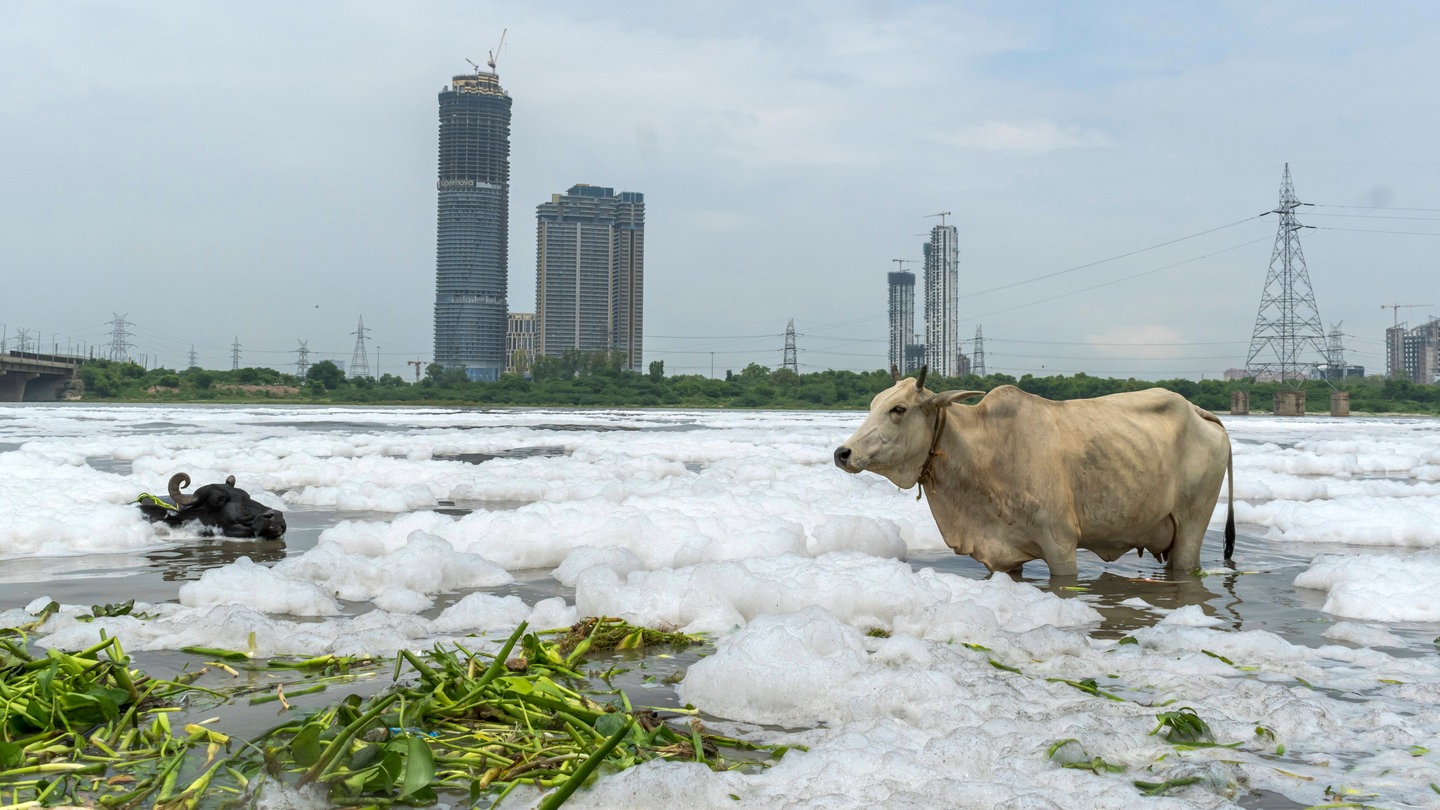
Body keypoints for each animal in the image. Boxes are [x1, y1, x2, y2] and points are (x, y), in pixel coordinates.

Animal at [835, 366, 1238, 573]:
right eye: (873, 403)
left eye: (899, 409)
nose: (843, 453)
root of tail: (1199, 411)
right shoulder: (1002, 556)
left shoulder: (1061, 544)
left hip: (1191, 529)